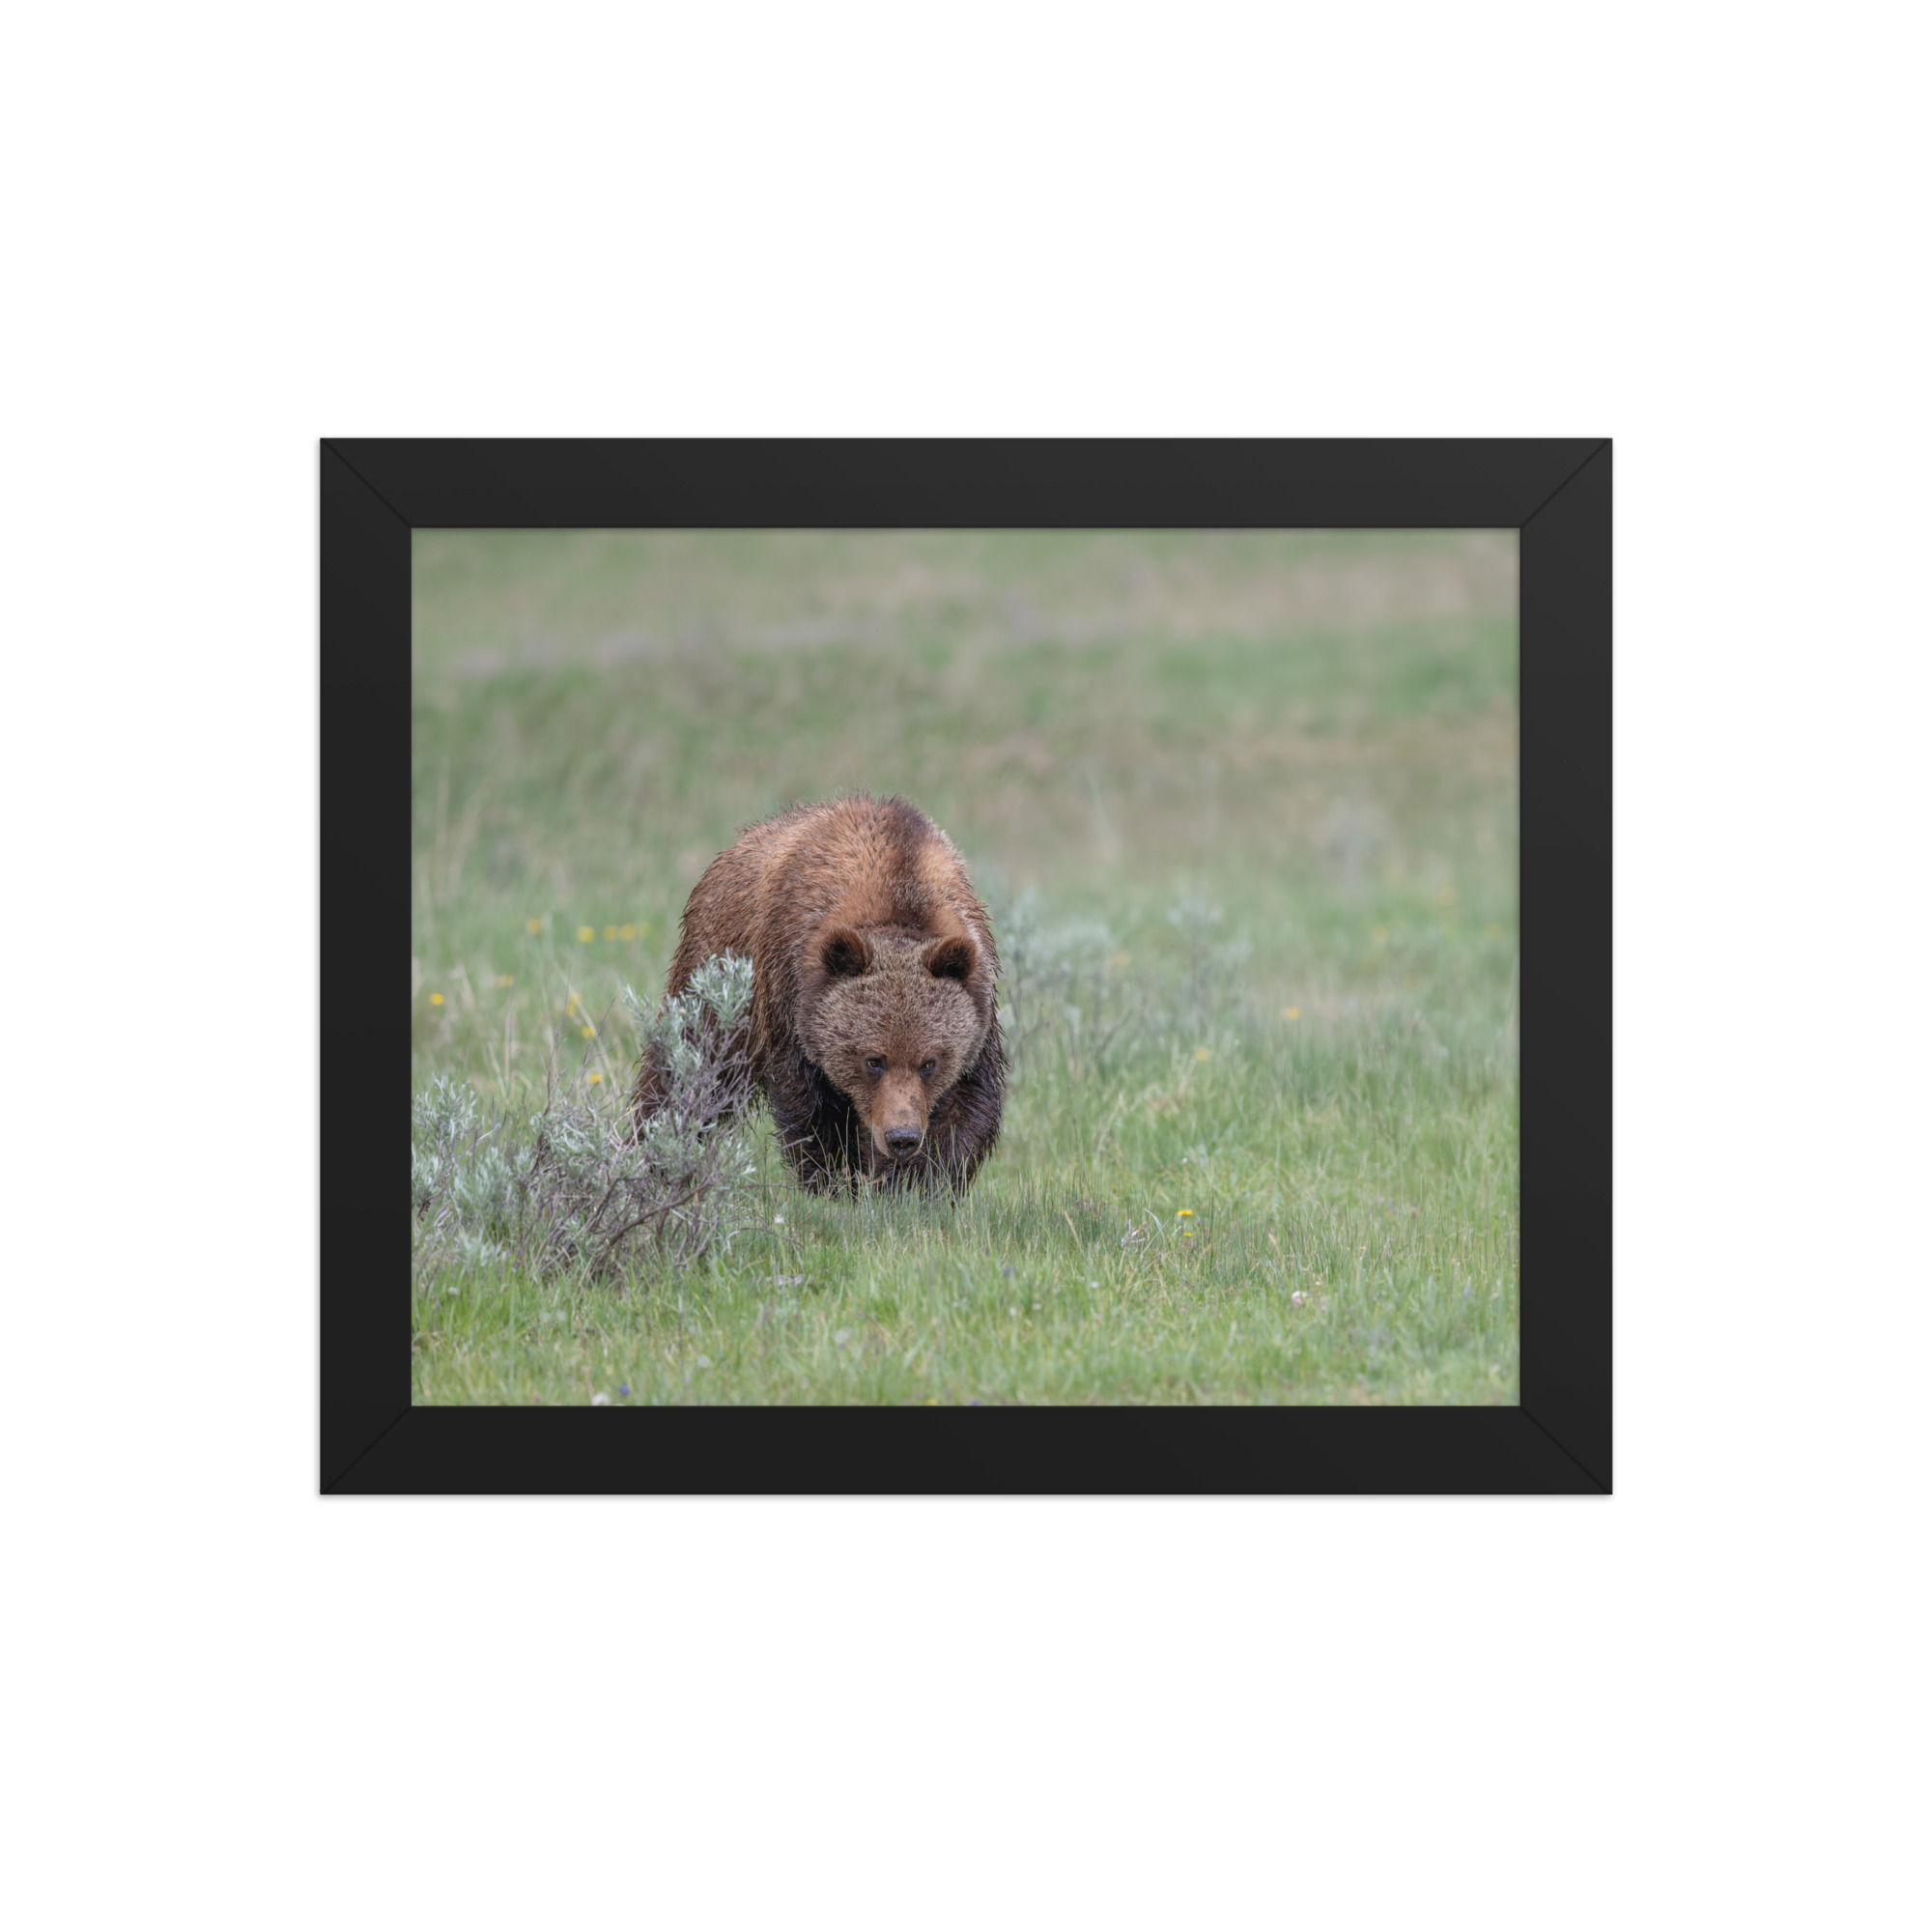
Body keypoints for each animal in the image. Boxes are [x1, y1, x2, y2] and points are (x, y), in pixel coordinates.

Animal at [631, 794, 1006, 1192]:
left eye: (929, 1063)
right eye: (873, 1060)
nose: (901, 1137)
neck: (899, 891)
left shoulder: (977, 1006)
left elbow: (965, 1107)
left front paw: (915, 1184)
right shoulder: (790, 994)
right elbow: (812, 1109)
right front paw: (835, 1182)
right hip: (717, 975)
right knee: (688, 1069)